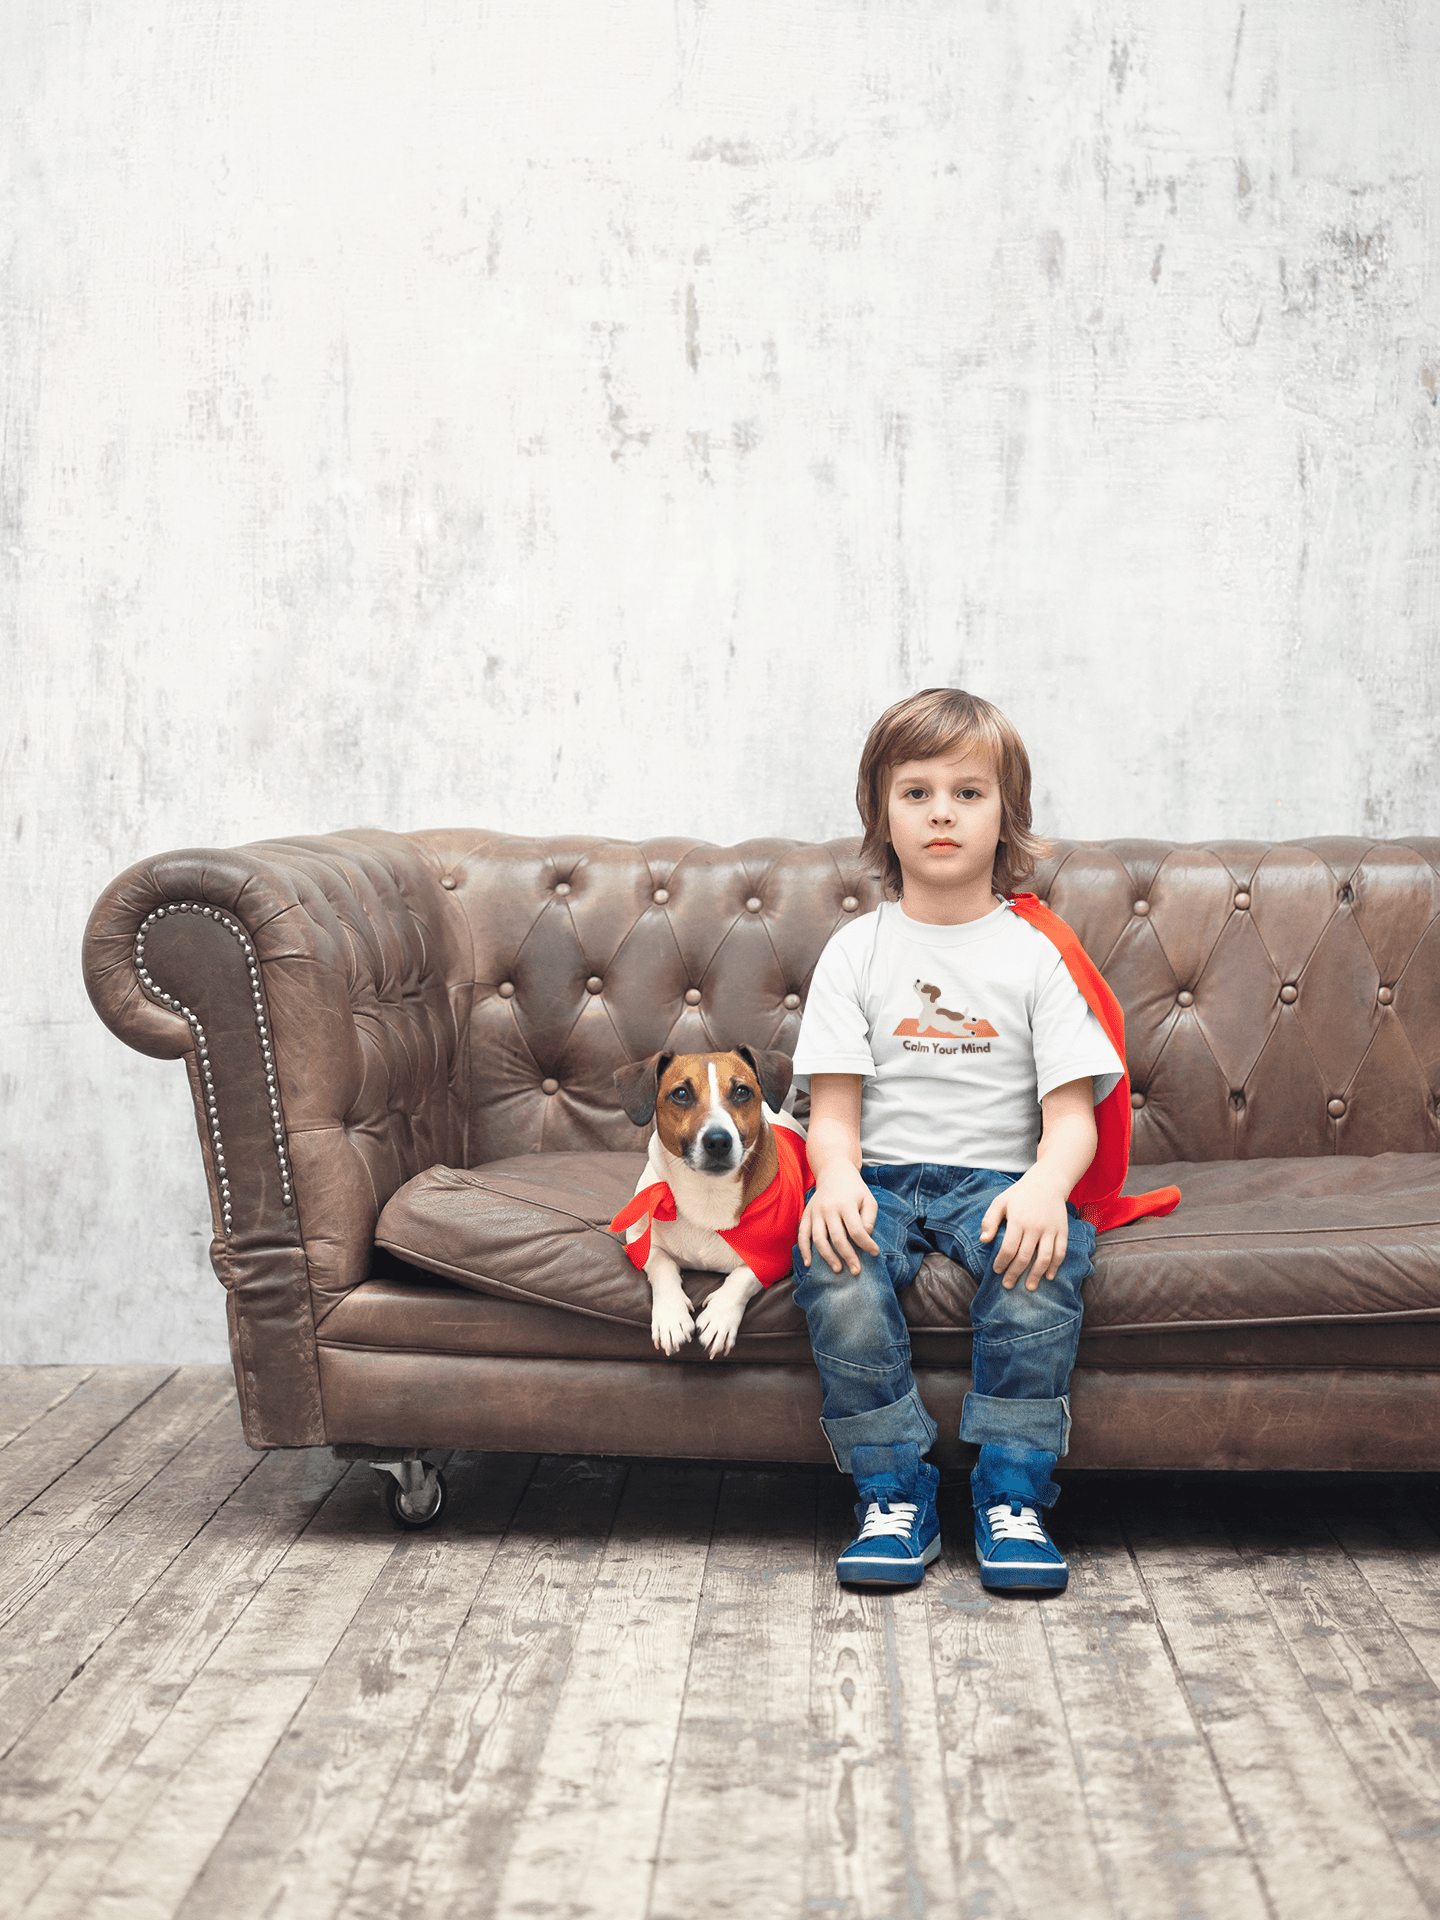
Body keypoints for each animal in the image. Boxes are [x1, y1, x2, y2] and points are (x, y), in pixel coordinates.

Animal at [610, 1052, 814, 1367]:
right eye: (681, 1094)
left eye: (742, 1091)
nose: (718, 1141)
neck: (707, 1194)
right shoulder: (640, 1241)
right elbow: (661, 1265)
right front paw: (671, 1315)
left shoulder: (778, 1258)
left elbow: (743, 1277)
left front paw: (720, 1316)